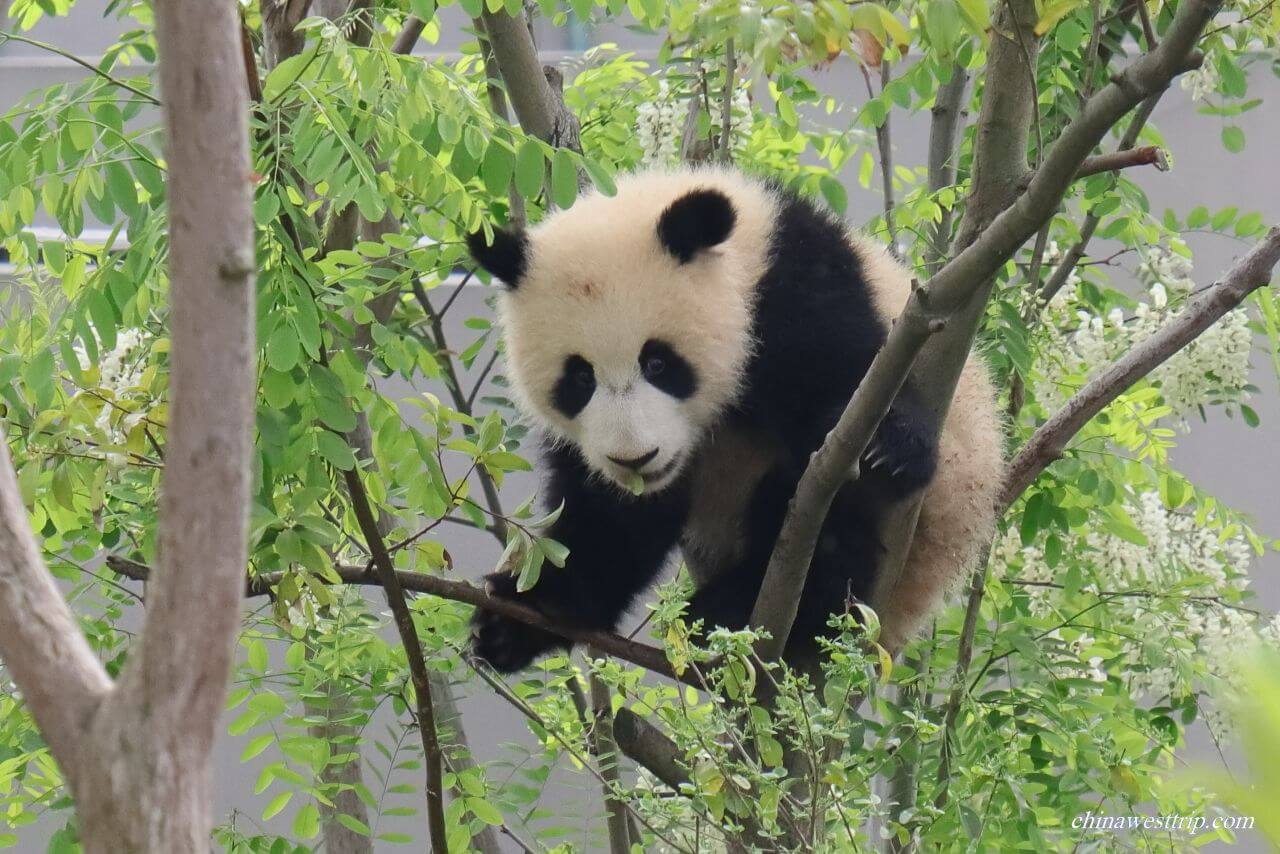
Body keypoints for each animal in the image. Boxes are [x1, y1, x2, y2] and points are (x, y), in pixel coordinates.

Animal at [465, 166, 1003, 673]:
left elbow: (855, 396)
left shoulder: (800, 291)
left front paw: (886, 448)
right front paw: (526, 615)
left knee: (825, 524)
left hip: (931, 527)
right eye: (579, 378)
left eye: (658, 363)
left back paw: (733, 608)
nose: (635, 459)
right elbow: (608, 518)